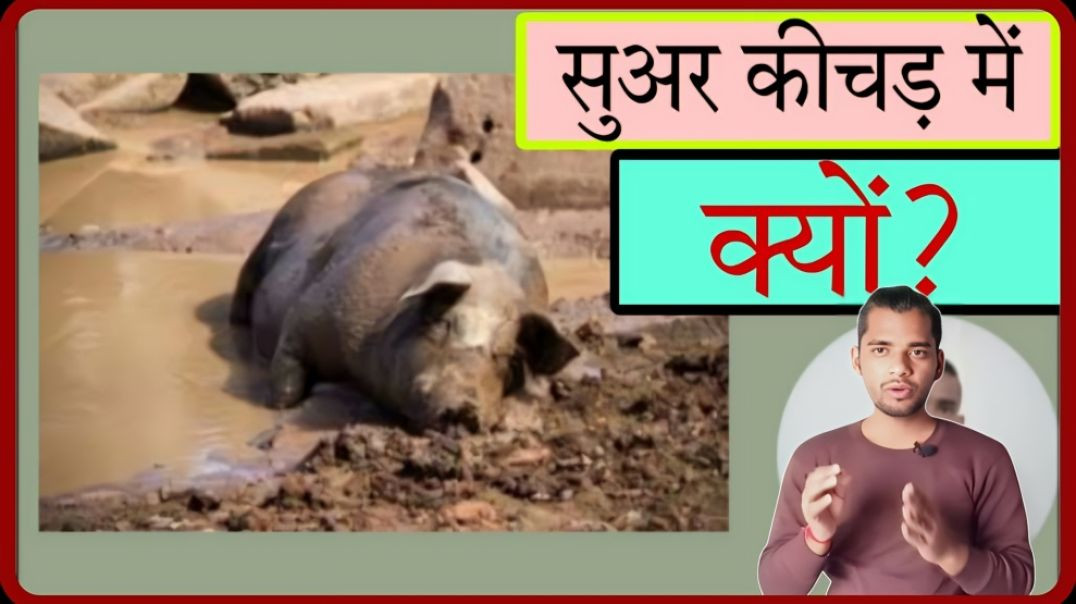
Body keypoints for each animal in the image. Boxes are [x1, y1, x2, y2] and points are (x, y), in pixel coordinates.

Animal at [230, 167, 579, 433]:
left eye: (509, 357)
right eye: (444, 323)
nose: (465, 407)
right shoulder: (309, 312)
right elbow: (286, 376)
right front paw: (273, 407)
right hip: (262, 248)